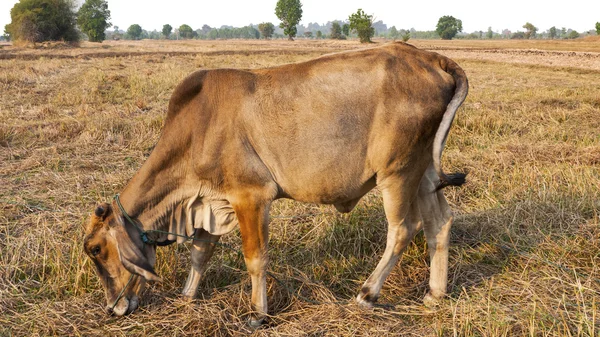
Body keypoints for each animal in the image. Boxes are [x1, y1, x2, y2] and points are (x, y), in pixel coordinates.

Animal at [83, 40, 468, 324]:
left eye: (96, 250)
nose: (113, 308)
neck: (195, 131)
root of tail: (431, 57)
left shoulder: (250, 197)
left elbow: (255, 258)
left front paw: (257, 313)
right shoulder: (210, 202)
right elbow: (200, 253)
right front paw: (188, 296)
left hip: (397, 172)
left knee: (403, 229)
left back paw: (367, 293)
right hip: (423, 171)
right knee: (439, 222)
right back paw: (434, 295)